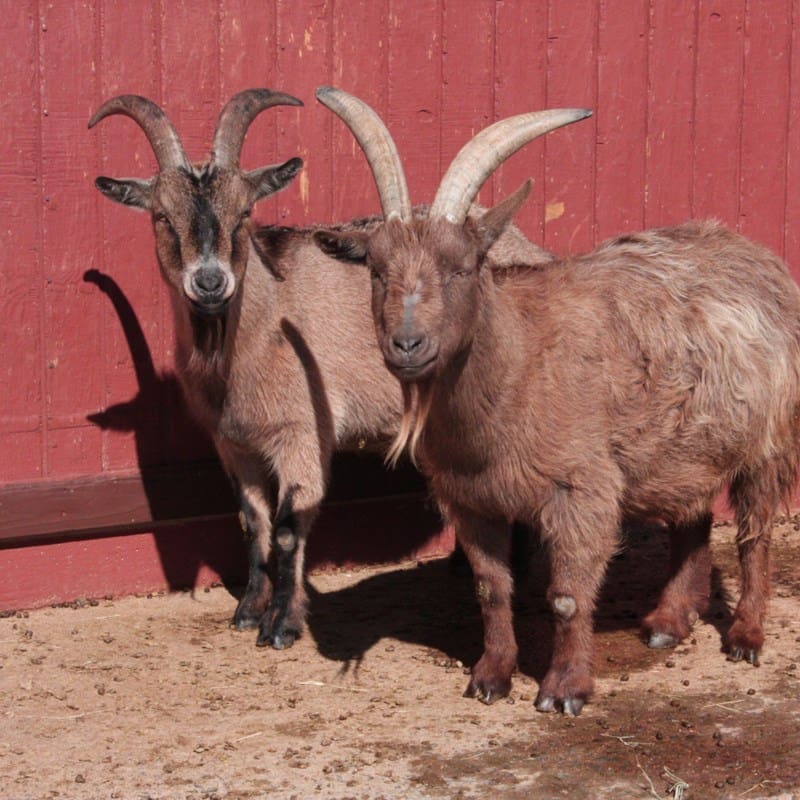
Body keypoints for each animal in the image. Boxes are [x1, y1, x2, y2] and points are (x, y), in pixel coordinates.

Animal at [89, 89, 552, 649]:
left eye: (245, 212)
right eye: (161, 215)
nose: (210, 282)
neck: (263, 324)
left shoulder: (302, 433)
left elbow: (290, 526)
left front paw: (282, 625)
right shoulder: (234, 443)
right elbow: (253, 521)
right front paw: (248, 610)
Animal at [314, 86, 800, 715]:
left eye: (463, 266)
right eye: (375, 269)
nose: (407, 344)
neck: (516, 370)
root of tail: (756, 254)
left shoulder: (581, 490)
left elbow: (567, 595)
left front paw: (564, 689)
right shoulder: (470, 498)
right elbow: (491, 589)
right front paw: (491, 677)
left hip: (767, 440)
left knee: (754, 534)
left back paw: (745, 635)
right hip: (680, 447)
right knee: (691, 518)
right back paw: (667, 622)